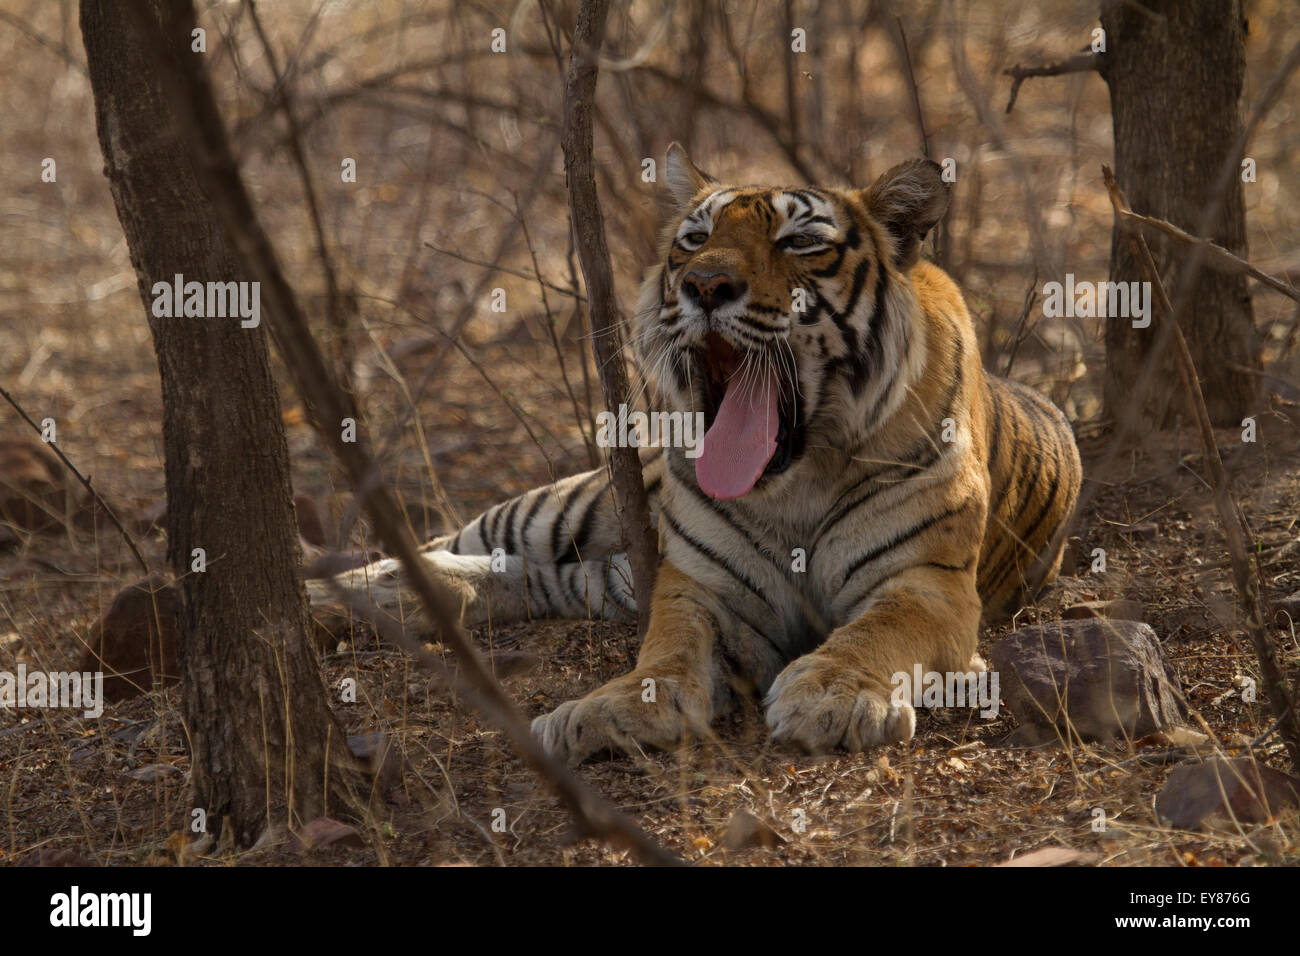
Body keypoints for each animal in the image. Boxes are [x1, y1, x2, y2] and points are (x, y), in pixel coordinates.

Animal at [309, 143, 1081, 770]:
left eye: (800, 241)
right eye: (695, 237)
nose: (704, 285)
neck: (797, 480)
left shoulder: (928, 586)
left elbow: (875, 632)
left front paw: (832, 696)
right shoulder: (701, 586)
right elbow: (668, 647)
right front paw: (609, 708)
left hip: (590, 568)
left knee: (518, 579)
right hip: (565, 508)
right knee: (450, 544)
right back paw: (331, 594)